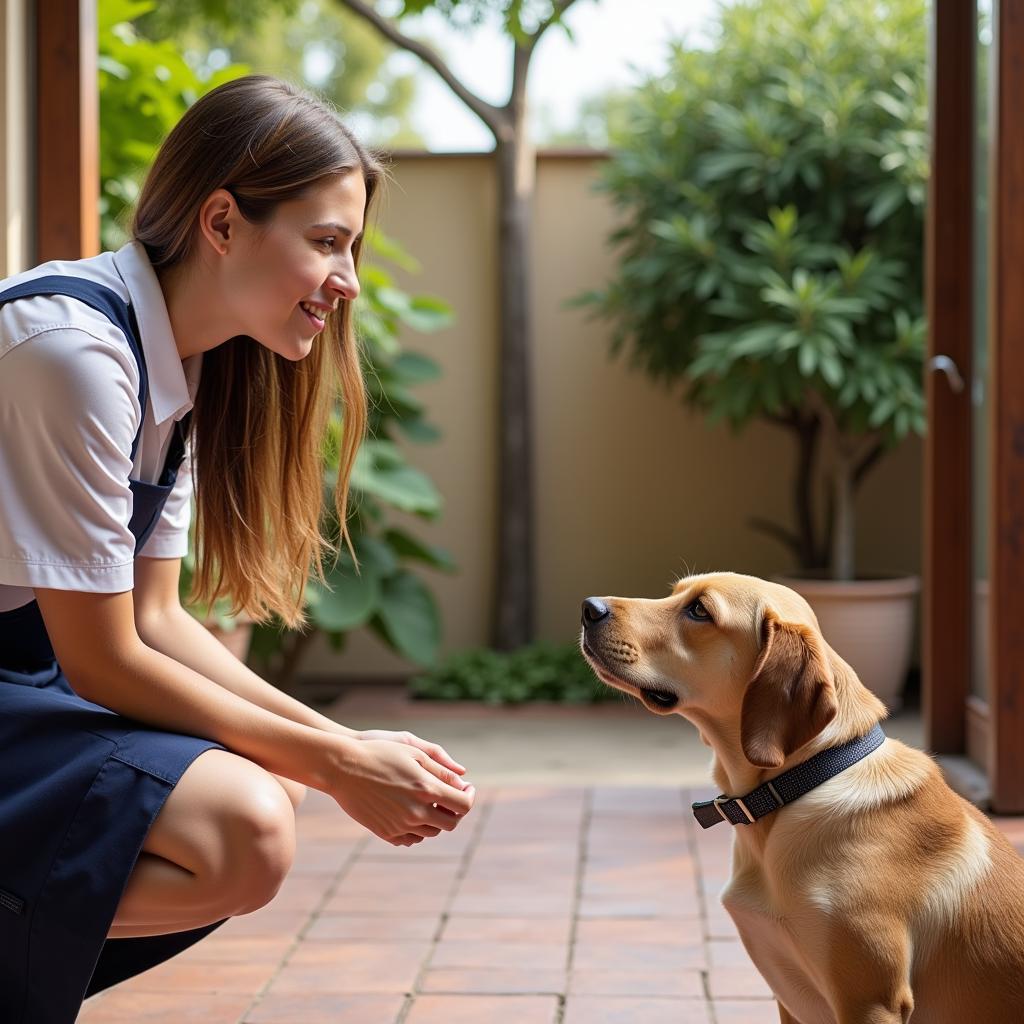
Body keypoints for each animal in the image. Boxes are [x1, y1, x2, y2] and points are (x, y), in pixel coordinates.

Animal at [581, 573, 1024, 1019]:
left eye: (700, 610)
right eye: (674, 594)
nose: (589, 608)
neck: (803, 780)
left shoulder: (870, 1000)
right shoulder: (789, 999)